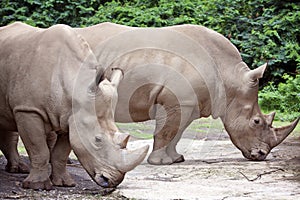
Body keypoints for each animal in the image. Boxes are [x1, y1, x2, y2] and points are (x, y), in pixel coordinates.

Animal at [0, 22, 149, 190]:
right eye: (97, 140)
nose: (112, 181)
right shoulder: (28, 109)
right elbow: (38, 149)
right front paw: (38, 186)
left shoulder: (71, 116)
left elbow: (61, 153)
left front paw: (64, 183)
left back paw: (18, 169)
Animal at [76, 22, 298, 165]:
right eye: (256, 122)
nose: (261, 155)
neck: (229, 78)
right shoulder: (176, 100)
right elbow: (166, 132)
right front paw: (160, 163)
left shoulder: (190, 103)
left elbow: (177, 133)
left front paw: (176, 159)